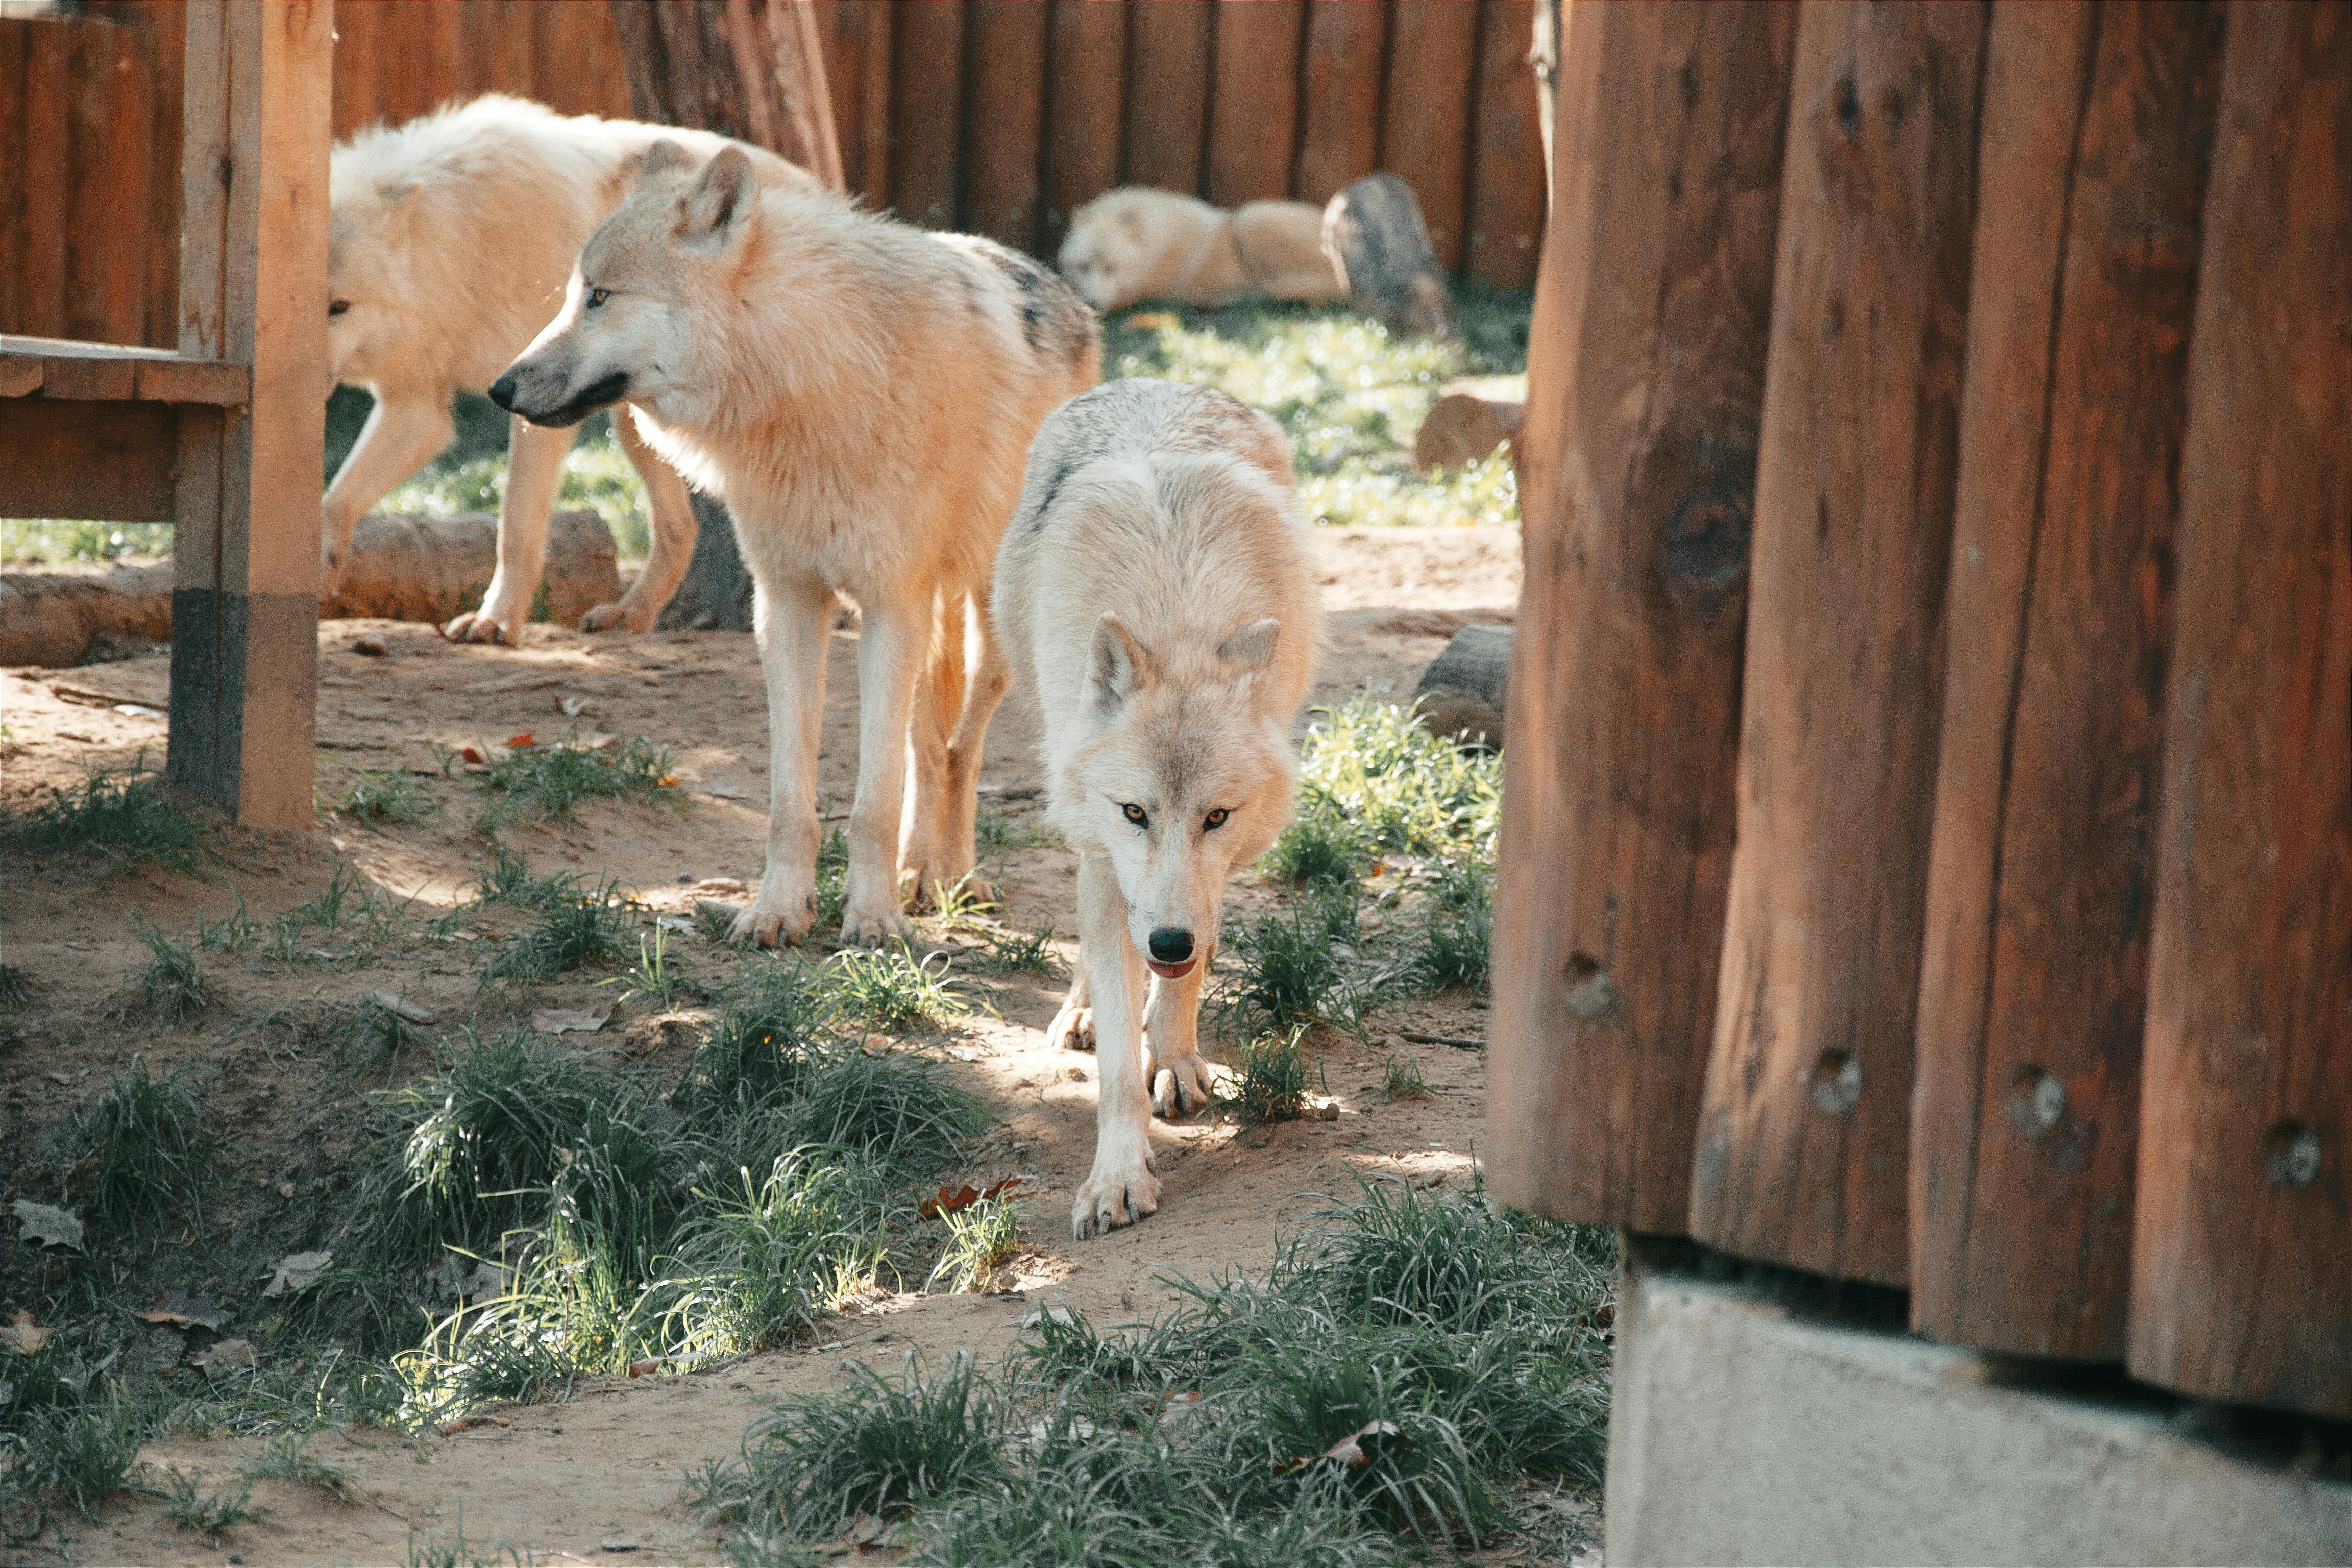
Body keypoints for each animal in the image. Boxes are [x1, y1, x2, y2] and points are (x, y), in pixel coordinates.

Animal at [321, 95, 816, 643]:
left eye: (339, 308)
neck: (459, 239)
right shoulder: (416, 406)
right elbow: (334, 501)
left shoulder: (531, 404)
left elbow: (515, 525)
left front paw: (496, 620)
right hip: (638, 426)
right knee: (680, 530)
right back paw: (631, 615)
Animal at [491, 143, 1099, 945]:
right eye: (573, 296)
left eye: (599, 296)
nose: (500, 389)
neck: (811, 383)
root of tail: (1067, 295)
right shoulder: (788, 605)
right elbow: (792, 798)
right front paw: (779, 911)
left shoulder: (888, 606)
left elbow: (872, 802)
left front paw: (872, 922)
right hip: (923, 627)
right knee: (927, 749)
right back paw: (918, 873)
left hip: (985, 631)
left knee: (962, 751)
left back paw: (955, 879)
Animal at [992, 378, 1323, 1239]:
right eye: (1136, 813)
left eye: (1217, 817)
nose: (1169, 942)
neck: (1176, 611)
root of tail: (1152, 384)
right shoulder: (1110, 854)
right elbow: (1115, 1064)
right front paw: (1116, 1177)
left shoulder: (1206, 879)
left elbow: (1188, 973)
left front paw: (1172, 1059)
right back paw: (1080, 1010)